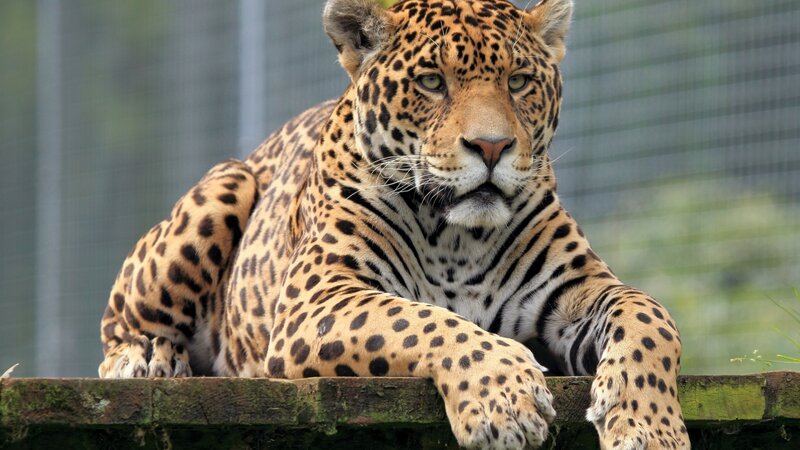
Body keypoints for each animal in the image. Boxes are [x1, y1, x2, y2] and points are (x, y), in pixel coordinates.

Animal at [98, 0, 689, 448]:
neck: (458, 237)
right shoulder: (318, 298)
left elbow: (651, 317)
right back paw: (146, 356)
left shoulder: (577, 290)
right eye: (431, 81)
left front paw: (648, 426)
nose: (492, 146)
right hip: (227, 184)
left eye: (519, 81)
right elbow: (422, 319)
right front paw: (503, 399)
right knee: (119, 326)